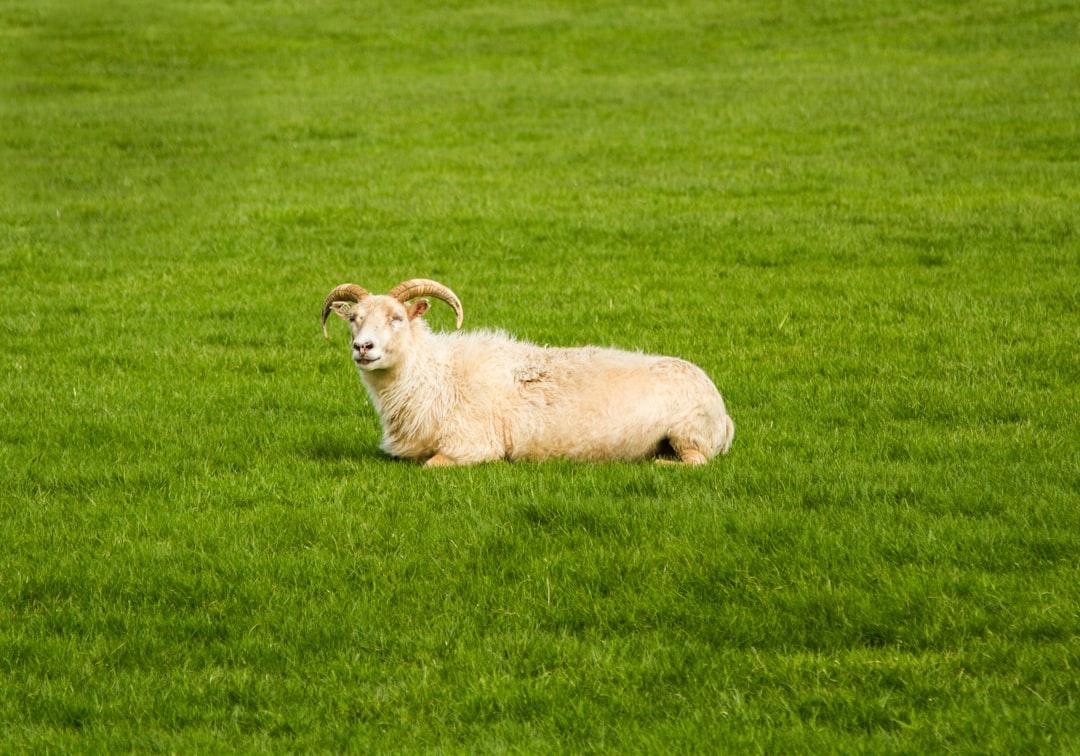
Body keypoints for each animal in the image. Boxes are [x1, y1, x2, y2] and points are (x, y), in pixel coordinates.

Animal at [321, 278, 734, 466]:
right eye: (354, 319)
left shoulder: (472, 445)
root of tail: (725, 417)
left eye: (396, 318)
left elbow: (431, 465)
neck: (436, 376)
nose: (363, 348)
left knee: (695, 462)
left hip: (688, 433)